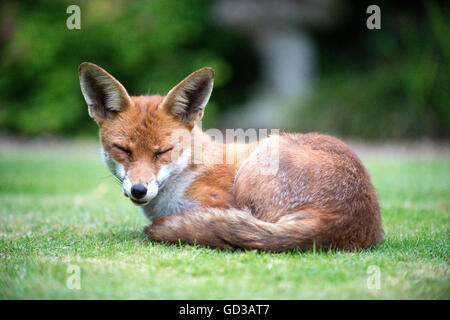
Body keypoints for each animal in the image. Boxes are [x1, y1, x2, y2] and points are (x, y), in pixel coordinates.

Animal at [78, 62, 384, 252]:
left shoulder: (223, 202)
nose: (138, 190)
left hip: (260, 161)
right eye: (123, 149)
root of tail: (344, 222)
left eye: (162, 152)